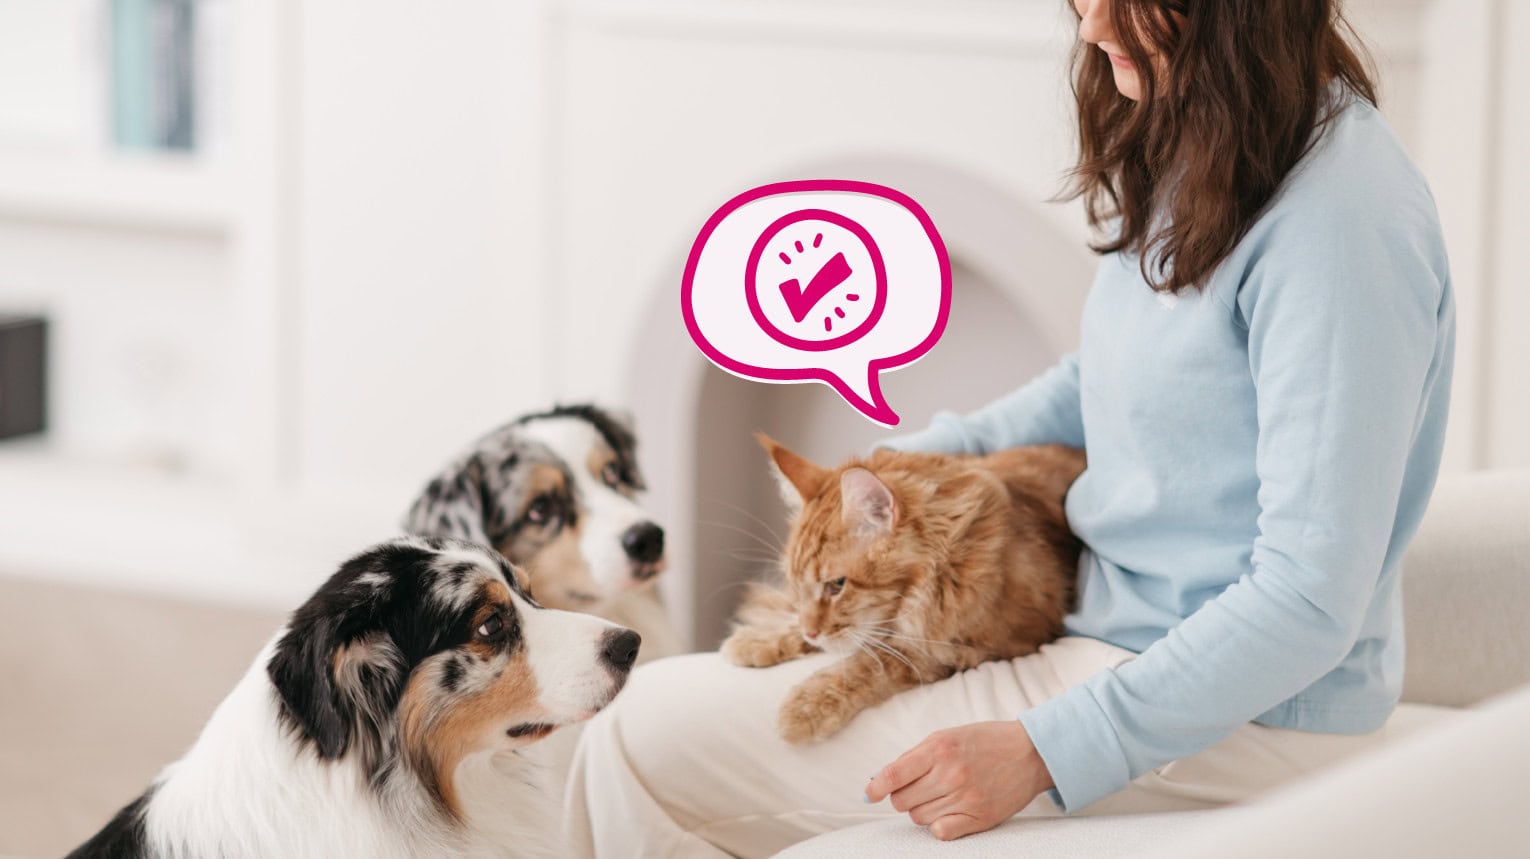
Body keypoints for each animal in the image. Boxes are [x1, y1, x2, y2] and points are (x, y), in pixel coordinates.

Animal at [719, 434, 1089, 744]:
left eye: (837, 585)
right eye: (797, 585)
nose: (811, 633)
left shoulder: (988, 644)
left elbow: (877, 661)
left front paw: (809, 704)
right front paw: (762, 639)